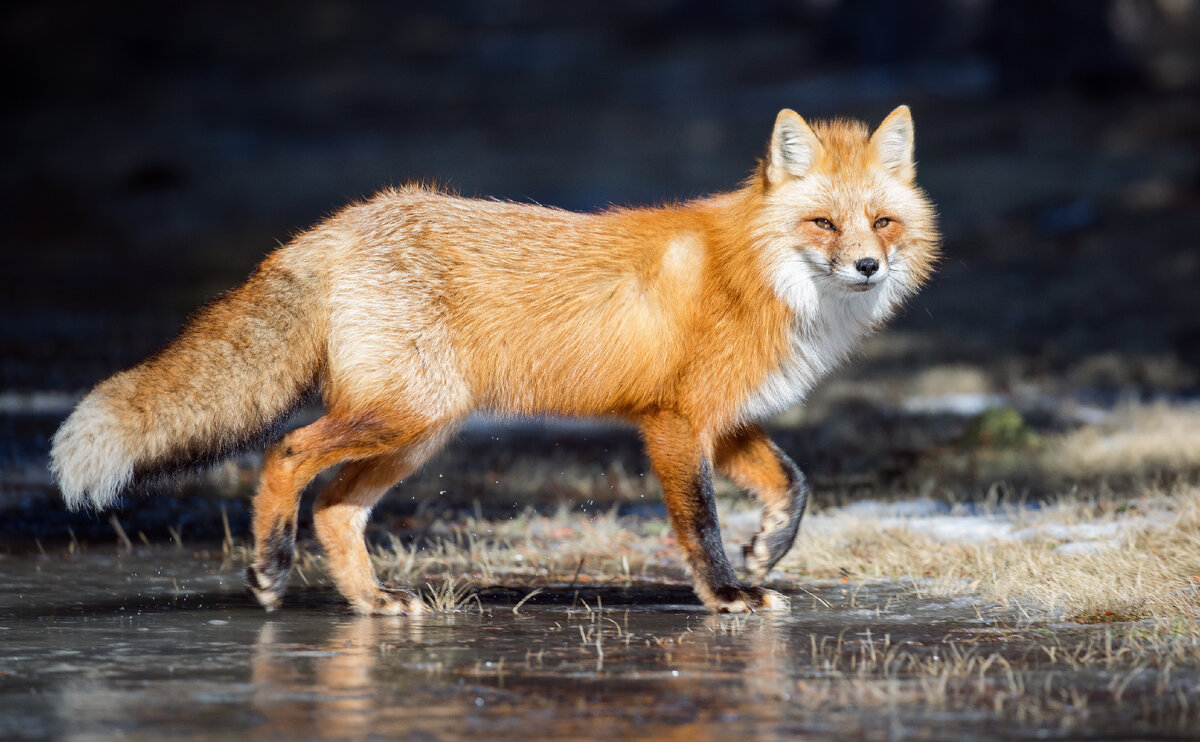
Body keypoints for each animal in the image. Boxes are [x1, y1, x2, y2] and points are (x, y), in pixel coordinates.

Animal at [51, 105, 936, 612]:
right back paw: (269, 568)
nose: (869, 267)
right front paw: (726, 592)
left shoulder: (722, 420)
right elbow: (701, 523)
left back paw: (373, 604)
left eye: (882, 222)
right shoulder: (674, 424)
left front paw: (765, 555)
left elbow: (794, 484)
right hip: (403, 415)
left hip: (419, 433)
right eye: (823, 223)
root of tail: (340, 222)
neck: (757, 272)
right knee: (288, 453)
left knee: (335, 506)